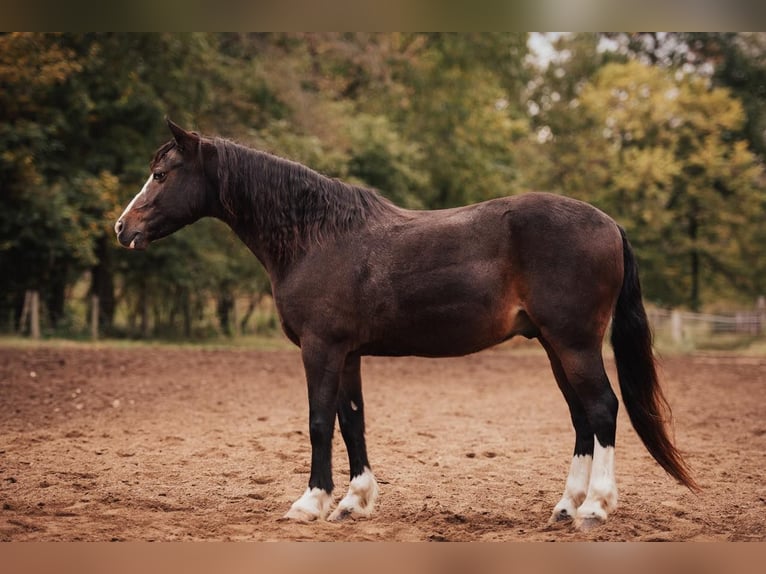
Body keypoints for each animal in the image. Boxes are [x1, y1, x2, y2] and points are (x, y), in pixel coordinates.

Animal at [115, 120, 704, 532]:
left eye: (162, 174)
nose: (122, 227)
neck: (317, 237)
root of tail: (608, 223)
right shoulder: (347, 353)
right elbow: (352, 421)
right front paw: (354, 502)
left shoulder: (320, 348)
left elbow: (319, 423)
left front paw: (310, 502)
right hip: (555, 347)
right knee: (583, 418)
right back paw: (565, 507)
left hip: (575, 343)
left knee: (602, 409)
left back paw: (596, 509)